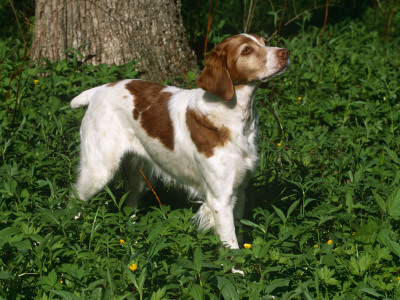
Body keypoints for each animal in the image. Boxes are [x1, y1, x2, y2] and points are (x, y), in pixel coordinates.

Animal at [70, 33, 290, 258]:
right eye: (246, 50)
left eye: (263, 42)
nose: (285, 52)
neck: (234, 118)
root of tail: (99, 90)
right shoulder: (220, 199)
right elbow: (231, 246)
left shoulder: (240, 188)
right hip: (99, 171)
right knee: (74, 199)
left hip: (139, 176)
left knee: (130, 204)